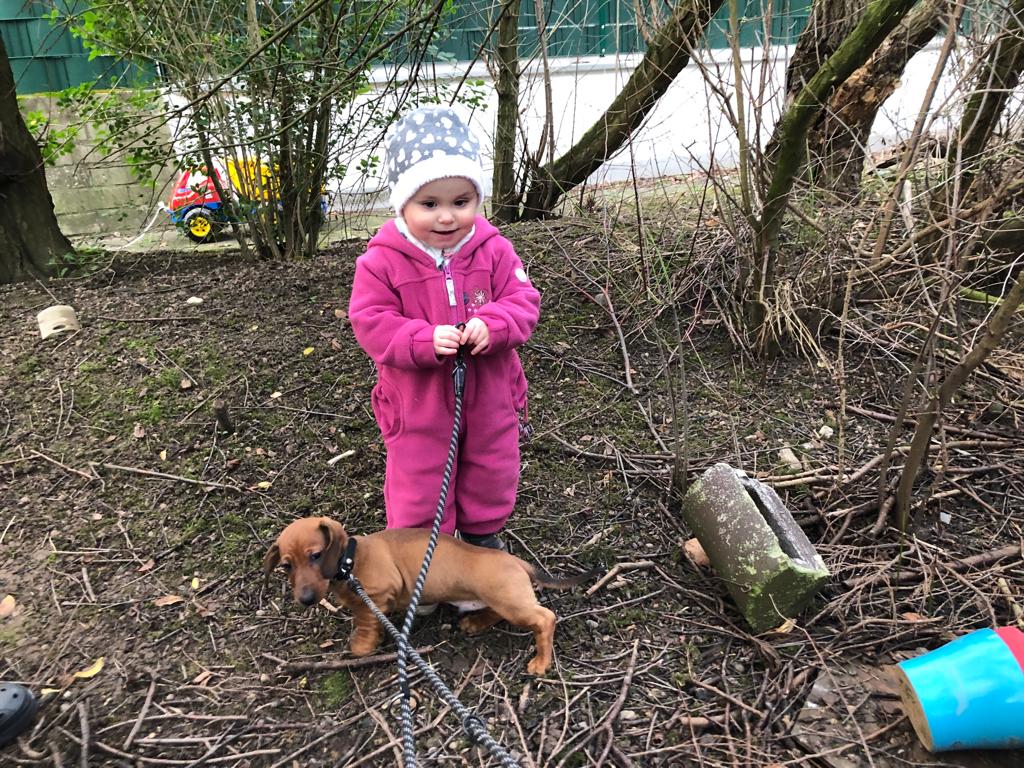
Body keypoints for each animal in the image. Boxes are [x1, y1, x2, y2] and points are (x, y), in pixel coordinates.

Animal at [263, 516, 591, 675]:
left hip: (511, 602)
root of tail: (519, 562)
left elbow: (367, 619)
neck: (350, 561)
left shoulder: (376, 597)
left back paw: (541, 662)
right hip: (500, 600)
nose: (305, 599)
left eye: (316, 555)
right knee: (496, 613)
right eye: (286, 565)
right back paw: (474, 623)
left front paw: (363, 644)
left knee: (546, 619)